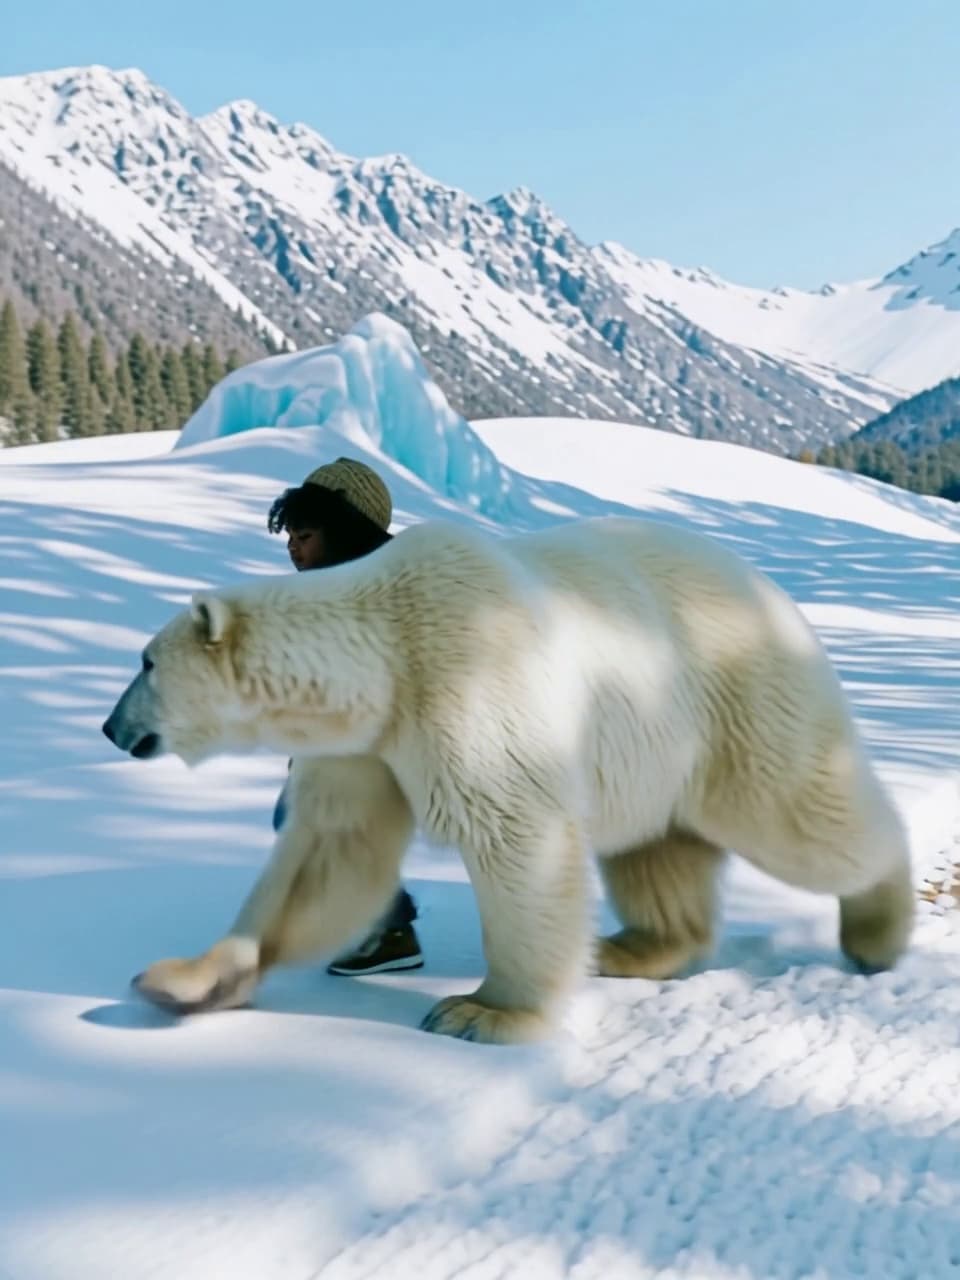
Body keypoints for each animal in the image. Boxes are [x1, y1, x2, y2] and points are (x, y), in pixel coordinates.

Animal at [102, 515, 914, 1045]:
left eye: (146, 662)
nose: (110, 727)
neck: (386, 650)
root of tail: (776, 594)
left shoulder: (468, 687)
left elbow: (516, 836)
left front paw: (484, 1013)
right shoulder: (366, 747)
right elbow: (331, 854)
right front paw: (183, 981)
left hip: (735, 703)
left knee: (801, 817)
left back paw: (877, 931)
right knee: (655, 848)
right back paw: (630, 948)